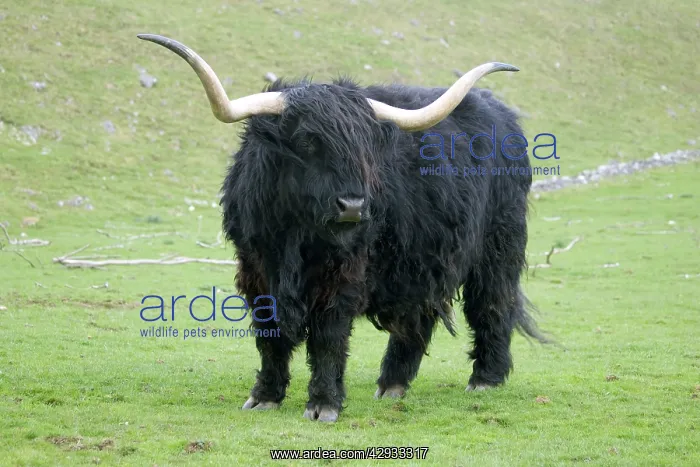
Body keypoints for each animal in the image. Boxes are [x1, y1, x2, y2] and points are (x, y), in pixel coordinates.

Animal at [138, 34, 547, 422]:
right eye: (306, 141)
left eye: (365, 148)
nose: (353, 206)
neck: (295, 234)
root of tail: (502, 115)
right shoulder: (255, 270)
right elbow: (270, 336)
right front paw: (264, 396)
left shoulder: (343, 274)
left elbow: (328, 336)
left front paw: (323, 404)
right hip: (426, 257)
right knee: (421, 313)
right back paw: (393, 384)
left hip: (498, 247)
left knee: (492, 303)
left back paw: (485, 379)